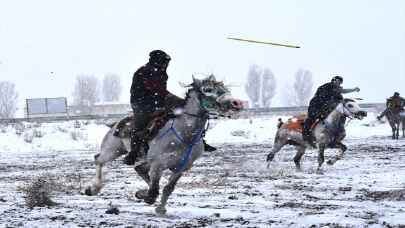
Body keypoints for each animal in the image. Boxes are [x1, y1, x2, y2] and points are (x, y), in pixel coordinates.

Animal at [84, 75, 243, 215]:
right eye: (207, 89)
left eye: (224, 88)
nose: (237, 103)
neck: (184, 135)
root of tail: (117, 123)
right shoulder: (157, 165)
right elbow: (154, 191)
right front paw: (146, 197)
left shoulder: (180, 169)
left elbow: (167, 189)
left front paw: (160, 208)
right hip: (113, 150)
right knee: (98, 159)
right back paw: (93, 189)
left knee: (138, 169)